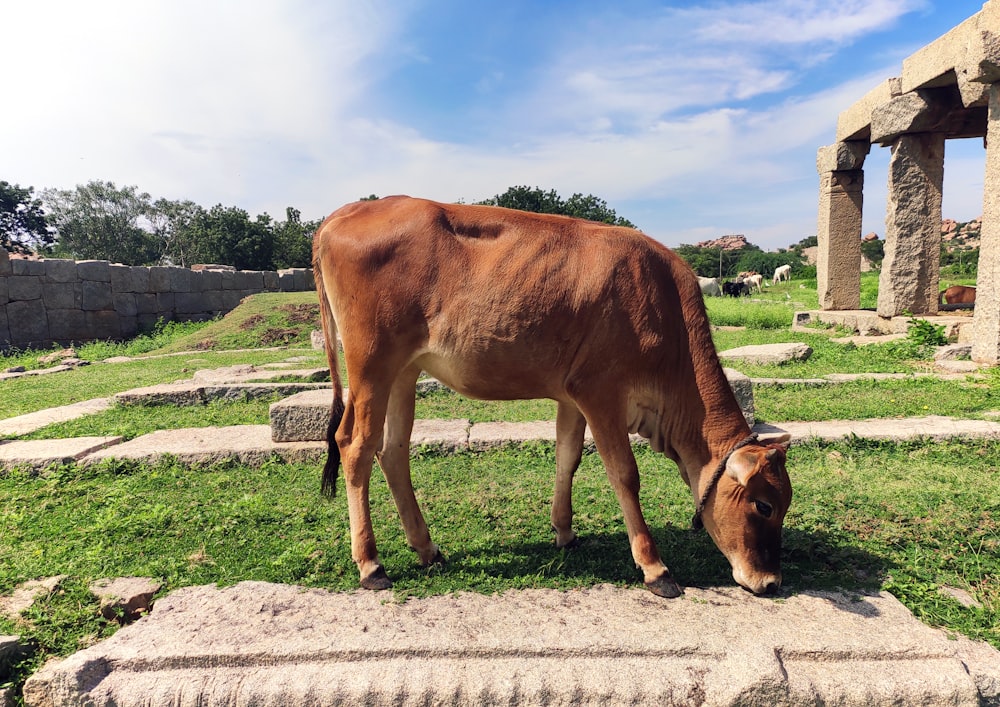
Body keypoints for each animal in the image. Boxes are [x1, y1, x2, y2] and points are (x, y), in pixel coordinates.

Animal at [308, 196, 792, 600]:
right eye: (764, 505)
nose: (770, 582)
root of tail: (343, 213)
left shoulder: (572, 394)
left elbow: (567, 456)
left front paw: (564, 532)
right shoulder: (600, 391)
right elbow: (624, 474)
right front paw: (655, 569)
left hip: (404, 371)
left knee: (392, 451)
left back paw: (427, 548)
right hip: (372, 363)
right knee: (355, 445)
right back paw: (371, 565)